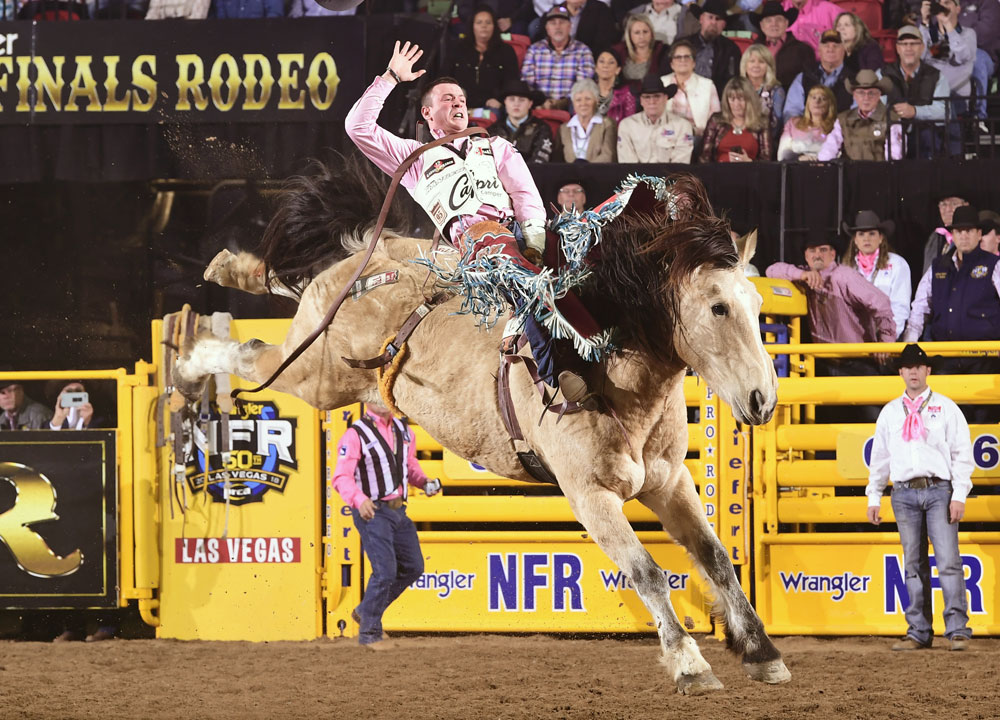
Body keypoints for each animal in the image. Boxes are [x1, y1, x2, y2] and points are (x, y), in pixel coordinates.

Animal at [178, 162, 788, 692]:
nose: (762, 400)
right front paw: (689, 663)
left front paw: (762, 651)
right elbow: (647, 572)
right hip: (313, 375)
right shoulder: (591, 496)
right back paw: (190, 361)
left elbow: (715, 558)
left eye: (758, 304)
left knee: (289, 294)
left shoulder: (670, 483)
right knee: (256, 354)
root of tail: (369, 267)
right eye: (718, 308)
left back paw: (226, 274)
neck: (609, 367)